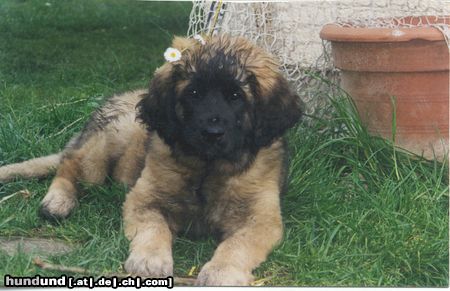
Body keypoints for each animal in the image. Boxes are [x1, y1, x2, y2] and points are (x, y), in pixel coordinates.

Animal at [0, 34, 302, 288]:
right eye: (193, 93)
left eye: (236, 96)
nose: (211, 133)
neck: (207, 168)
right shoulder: (145, 199)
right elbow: (154, 229)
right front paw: (149, 260)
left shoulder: (261, 219)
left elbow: (238, 244)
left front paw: (222, 272)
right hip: (110, 140)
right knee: (69, 164)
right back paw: (57, 201)